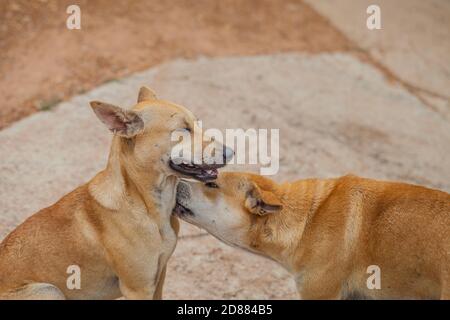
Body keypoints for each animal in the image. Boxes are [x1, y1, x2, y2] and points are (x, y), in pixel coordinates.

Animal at [0, 87, 230, 300]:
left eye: (198, 124)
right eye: (183, 130)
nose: (231, 152)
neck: (146, 205)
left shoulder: (159, 278)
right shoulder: (138, 289)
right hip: (49, 290)